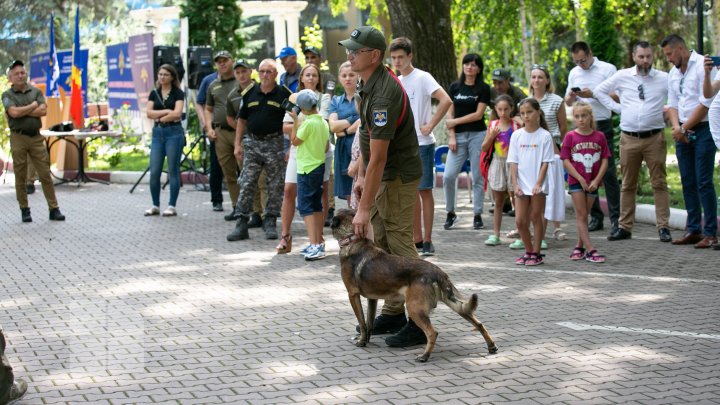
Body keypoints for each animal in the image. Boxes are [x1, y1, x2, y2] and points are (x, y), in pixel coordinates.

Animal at [330, 208, 496, 360]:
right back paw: (491, 347)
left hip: (414, 307)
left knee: (432, 332)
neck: (352, 240)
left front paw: (361, 341)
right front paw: (366, 340)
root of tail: (438, 272)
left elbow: (362, 322)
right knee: (479, 323)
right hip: (456, 306)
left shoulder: (353, 295)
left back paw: (424, 356)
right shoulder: (373, 299)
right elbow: (369, 323)